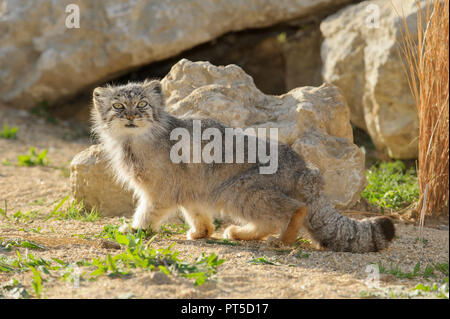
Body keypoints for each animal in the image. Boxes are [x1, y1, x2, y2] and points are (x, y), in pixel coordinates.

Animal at [90, 79, 394, 252]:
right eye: (118, 106)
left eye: (142, 104)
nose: (130, 115)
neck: (133, 142)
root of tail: (307, 172)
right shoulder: (190, 190)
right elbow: (197, 215)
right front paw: (201, 232)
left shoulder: (159, 192)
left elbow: (146, 213)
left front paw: (134, 230)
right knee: (269, 221)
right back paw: (240, 233)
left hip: (240, 192)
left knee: (295, 210)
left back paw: (283, 240)